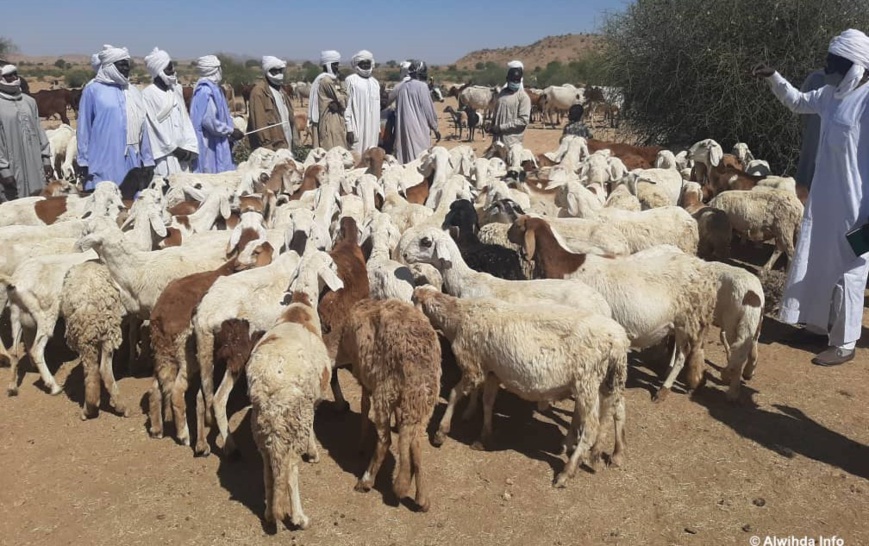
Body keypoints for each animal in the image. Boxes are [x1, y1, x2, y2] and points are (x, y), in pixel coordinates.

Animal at [249, 292, 334, 528]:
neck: (300, 305)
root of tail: (270, 382)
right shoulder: (311, 403)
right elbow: (312, 427)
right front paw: (313, 453)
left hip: (261, 426)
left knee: (268, 468)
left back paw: (270, 513)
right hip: (292, 421)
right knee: (290, 468)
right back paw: (299, 517)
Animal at [334, 296, 440, 508]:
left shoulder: (366, 378)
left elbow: (364, 407)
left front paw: (360, 444)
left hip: (385, 392)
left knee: (385, 440)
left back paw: (366, 481)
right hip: (424, 403)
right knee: (416, 441)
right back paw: (421, 498)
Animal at [416, 284, 632, 484]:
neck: (458, 316)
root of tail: (619, 340)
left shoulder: (474, 367)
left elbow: (454, 394)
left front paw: (441, 432)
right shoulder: (493, 371)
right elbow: (488, 403)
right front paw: (484, 436)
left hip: (587, 380)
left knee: (592, 427)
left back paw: (567, 471)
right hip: (609, 381)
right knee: (615, 410)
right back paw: (610, 452)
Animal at [506, 215, 716, 398]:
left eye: (517, 225)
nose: (507, 233)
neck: (564, 263)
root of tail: (705, 272)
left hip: (688, 319)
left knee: (683, 354)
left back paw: (664, 390)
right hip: (681, 322)